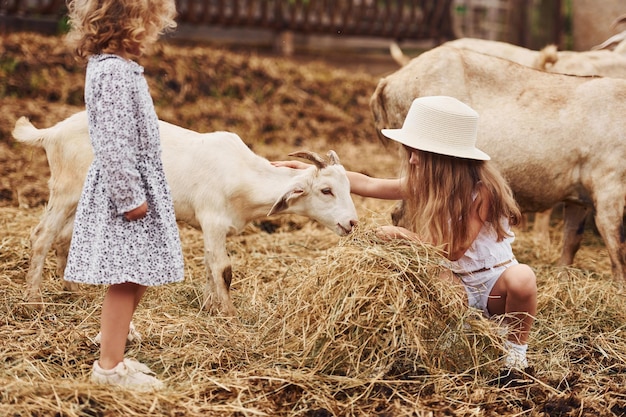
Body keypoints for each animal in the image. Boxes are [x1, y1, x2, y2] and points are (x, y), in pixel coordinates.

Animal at [13, 110, 356, 316]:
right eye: (326, 190)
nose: (351, 223)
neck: (242, 174)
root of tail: (52, 132)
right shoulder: (213, 219)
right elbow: (223, 269)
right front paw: (229, 315)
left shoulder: (213, 228)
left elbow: (209, 265)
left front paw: (209, 307)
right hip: (66, 190)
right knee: (42, 236)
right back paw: (32, 300)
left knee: (65, 238)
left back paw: (72, 291)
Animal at [370, 44, 624, 280]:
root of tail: (389, 81)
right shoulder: (609, 188)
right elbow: (617, 249)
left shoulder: (579, 198)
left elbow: (571, 241)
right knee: (404, 215)